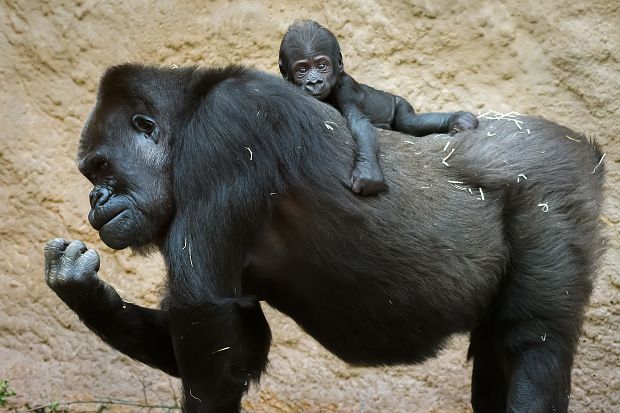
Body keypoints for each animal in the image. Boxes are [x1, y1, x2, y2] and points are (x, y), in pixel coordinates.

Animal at [44, 62, 604, 410]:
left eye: (101, 168)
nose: (94, 199)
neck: (188, 115)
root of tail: (584, 145)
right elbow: (243, 340)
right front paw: (81, 287)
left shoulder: (227, 130)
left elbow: (204, 312)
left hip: (554, 188)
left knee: (533, 341)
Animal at [280, 21, 480, 196]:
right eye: (302, 70)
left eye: (322, 66)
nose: (314, 82)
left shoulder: (346, 89)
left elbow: (359, 122)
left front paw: (368, 172)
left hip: (399, 103)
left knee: (409, 122)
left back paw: (458, 119)